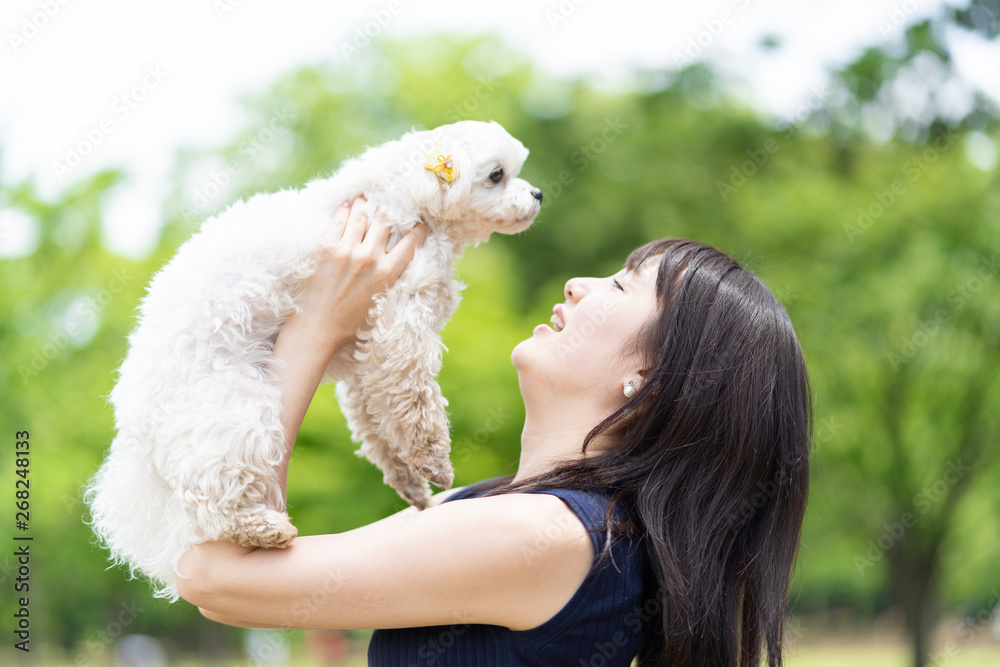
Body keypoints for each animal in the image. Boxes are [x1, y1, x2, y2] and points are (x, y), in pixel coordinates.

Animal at [83, 118, 544, 600]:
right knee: (215, 499)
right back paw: (264, 529)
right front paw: (433, 461)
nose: (538, 195)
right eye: (497, 175)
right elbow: (416, 401)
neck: (406, 200)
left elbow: (378, 423)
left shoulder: (363, 357)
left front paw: (411, 483)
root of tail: (135, 431)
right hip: (239, 409)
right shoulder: (400, 324)